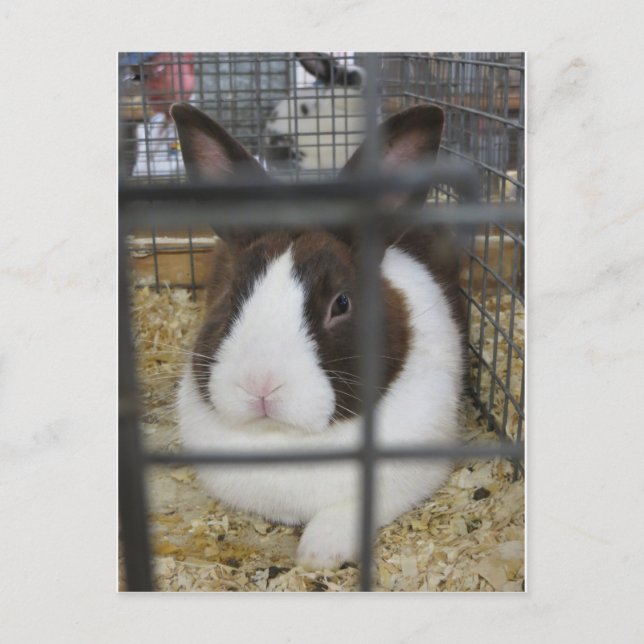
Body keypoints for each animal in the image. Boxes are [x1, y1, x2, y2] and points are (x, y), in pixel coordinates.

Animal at [171, 101, 466, 570]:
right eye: (231, 294)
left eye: (341, 303)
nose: (261, 385)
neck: (290, 441)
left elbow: (353, 508)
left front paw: (319, 554)